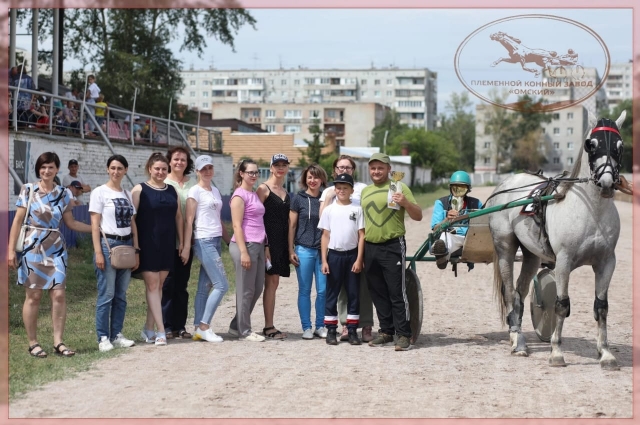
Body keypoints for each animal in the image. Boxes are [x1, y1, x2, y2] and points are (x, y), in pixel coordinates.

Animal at [488, 109, 624, 368]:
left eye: (619, 146)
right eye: (591, 144)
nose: (606, 183)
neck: (591, 211)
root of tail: (506, 183)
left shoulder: (606, 262)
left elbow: (601, 307)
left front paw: (606, 353)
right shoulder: (563, 261)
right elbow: (561, 304)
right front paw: (556, 352)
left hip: (531, 255)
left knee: (520, 294)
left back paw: (518, 334)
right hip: (505, 248)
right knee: (510, 293)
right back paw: (517, 341)